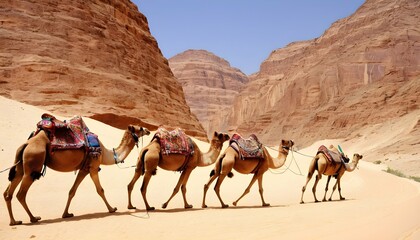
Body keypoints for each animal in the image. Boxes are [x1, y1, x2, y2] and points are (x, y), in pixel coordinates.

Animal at [3, 122, 150, 227]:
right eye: (140, 128)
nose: (148, 130)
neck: (105, 153)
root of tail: (26, 144)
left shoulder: (84, 169)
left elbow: (72, 191)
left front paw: (66, 213)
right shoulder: (93, 167)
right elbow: (100, 190)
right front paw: (112, 208)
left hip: (21, 166)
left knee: (8, 193)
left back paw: (14, 221)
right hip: (33, 164)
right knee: (21, 194)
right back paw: (33, 218)